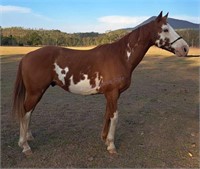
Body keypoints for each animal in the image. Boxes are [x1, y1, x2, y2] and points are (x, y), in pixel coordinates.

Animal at [12, 11, 189, 155]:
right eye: (165, 29)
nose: (185, 49)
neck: (120, 56)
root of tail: (26, 56)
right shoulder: (112, 94)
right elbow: (115, 117)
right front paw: (111, 145)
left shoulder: (111, 94)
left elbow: (107, 115)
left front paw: (104, 139)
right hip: (35, 92)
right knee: (25, 112)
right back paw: (25, 145)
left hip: (37, 92)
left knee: (28, 112)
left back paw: (28, 137)